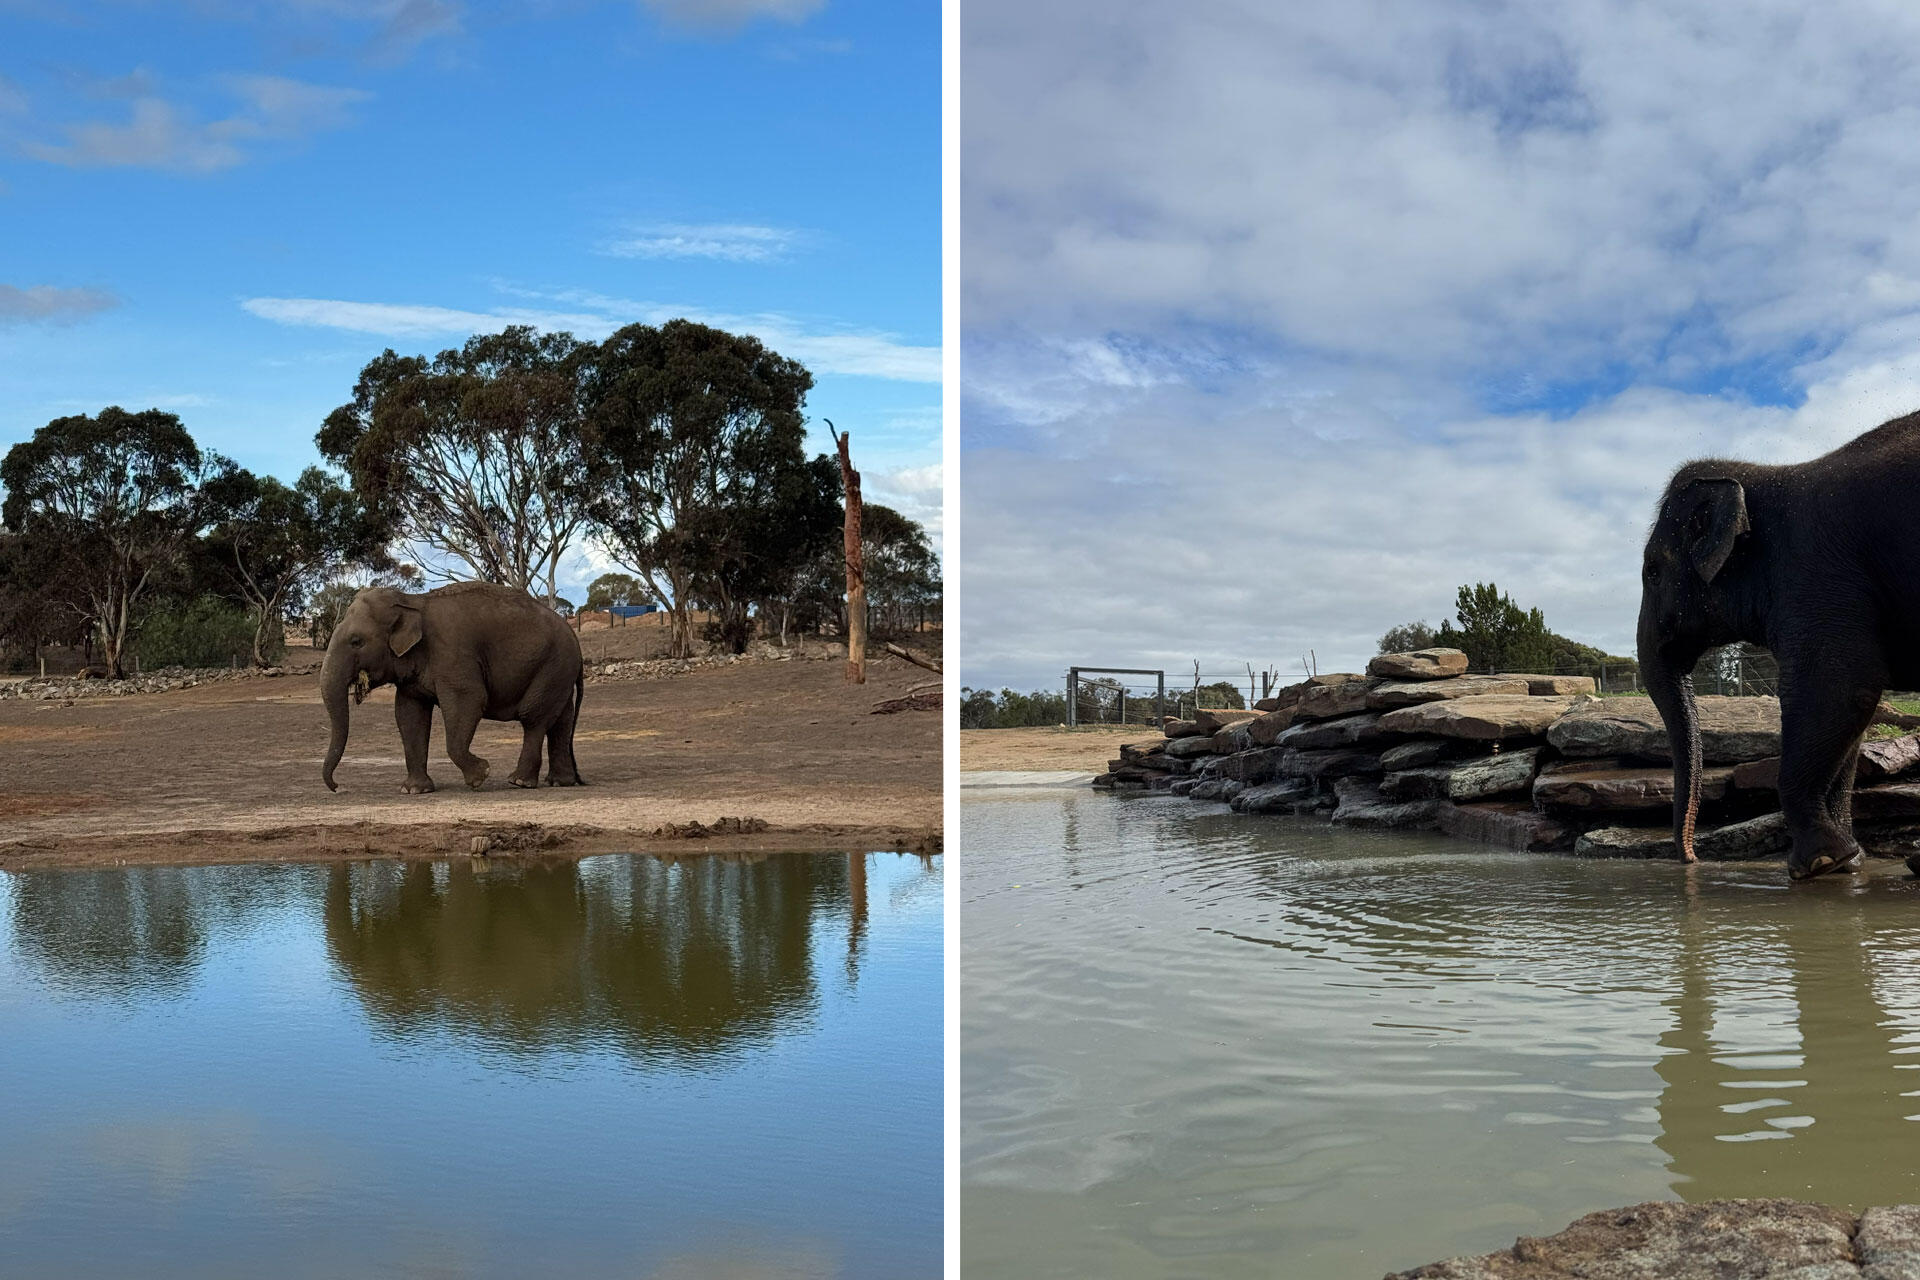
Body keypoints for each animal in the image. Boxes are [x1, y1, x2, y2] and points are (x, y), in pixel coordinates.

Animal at [320, 581, 584, 794]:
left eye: (356, 641)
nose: (337, 787)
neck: (412, 601)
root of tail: (574, 637)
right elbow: (409, 715)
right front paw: (414, 790)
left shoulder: (452, 654)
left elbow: (469, 701)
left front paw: (481, 776)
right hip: (559, 672)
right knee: (561, 720)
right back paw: (559, 782)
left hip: (553, 665)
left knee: (534, 718)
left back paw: (519, 782)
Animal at [1638, 410, 1920, 880]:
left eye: (1652, 572)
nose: (1692, 859)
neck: (1767, 475)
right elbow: (1850, 722)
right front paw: (1847, 861)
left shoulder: (1815, 574)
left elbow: (1838, 688)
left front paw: (1819, 862)